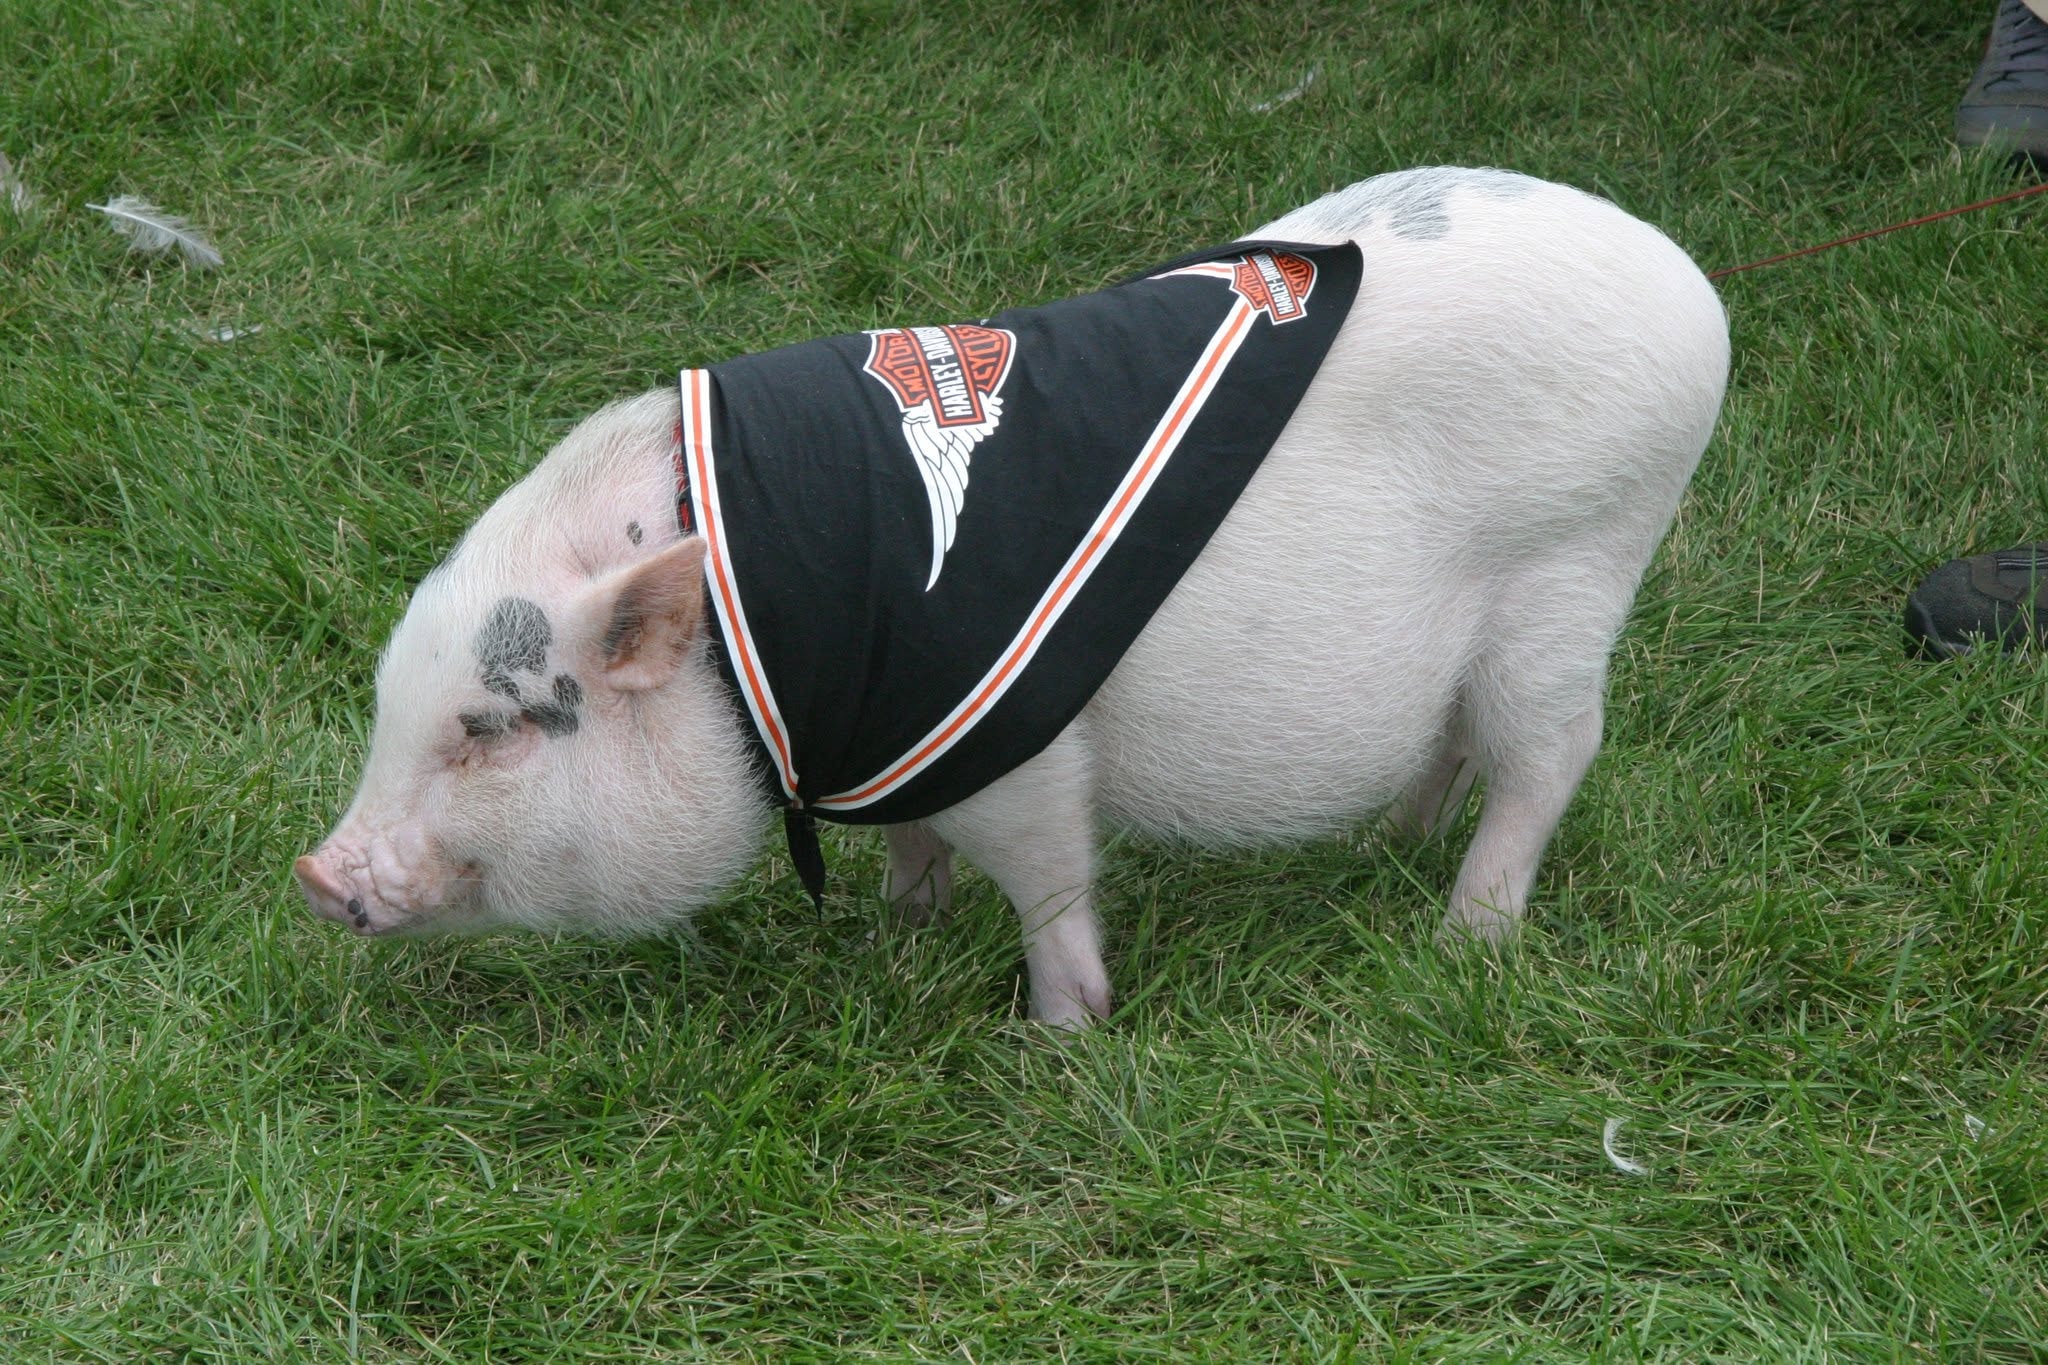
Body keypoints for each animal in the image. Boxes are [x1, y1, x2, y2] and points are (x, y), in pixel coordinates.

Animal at [295, 168, 1729, 1029]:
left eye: (486, 732)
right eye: (388, 701)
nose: (313, 876)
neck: (768, 650)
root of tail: (1695, 292)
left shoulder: (1015, 745)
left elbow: (1048, 882)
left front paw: (1061, 1033)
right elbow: (914, 847)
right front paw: (901, 929)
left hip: (1573, 571)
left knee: (1548, 760)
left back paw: (1462, 944)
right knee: (1457, 747)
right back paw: (1390, 850)